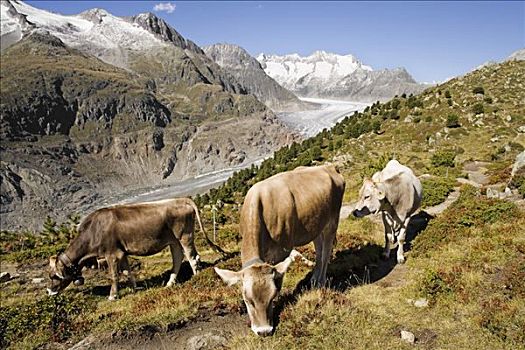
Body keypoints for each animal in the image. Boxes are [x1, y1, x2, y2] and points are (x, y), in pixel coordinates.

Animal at [46, 198, 223, 300]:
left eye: (54, 276)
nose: (48, 291)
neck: (93, 232)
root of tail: (182, 199)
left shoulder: (112, 254)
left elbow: (114, 276)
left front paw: (113, 296)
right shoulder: (122, 253)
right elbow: (127, 272)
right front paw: (135, 287)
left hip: (184, 236)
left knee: (192, 256)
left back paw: (196, 278)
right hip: (173, 241)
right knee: (178, 258)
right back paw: (169, 283)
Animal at [213, 165, 344, 334]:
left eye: (272, 296)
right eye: (247, 300)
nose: (264, 331)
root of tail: (329, 166)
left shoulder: (283, 250)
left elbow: (280, 278)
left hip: (332, 220)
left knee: (326, 251)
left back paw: (320, 281)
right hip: (316, 224)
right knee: (320, 249)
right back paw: (314, 279)